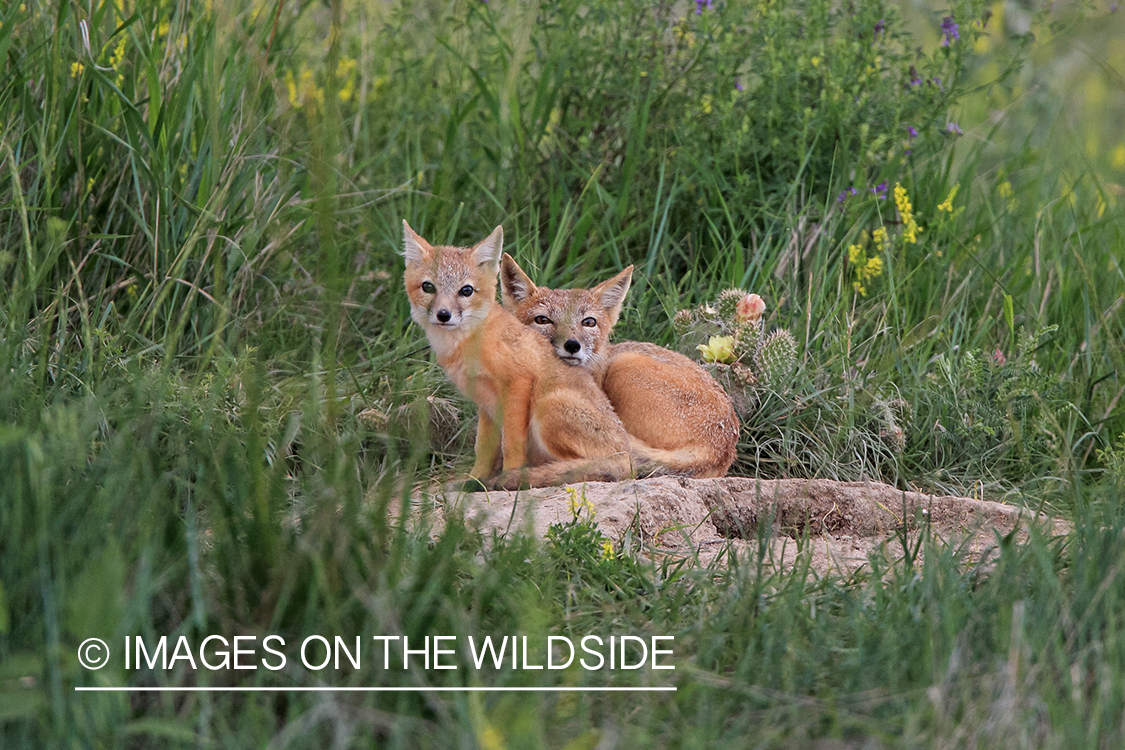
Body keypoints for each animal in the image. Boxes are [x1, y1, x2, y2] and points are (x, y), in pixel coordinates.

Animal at [402, 221, 639, 490]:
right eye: (428, 287)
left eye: (466, 290)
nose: (444, 315)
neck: (468, 344)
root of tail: (628, 458)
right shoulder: (485, 404)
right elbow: (484, 448)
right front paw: (474, 479)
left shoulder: (518, 383)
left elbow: (511, 444)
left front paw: (507, 477)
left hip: (547, 406)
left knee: (583, 466)